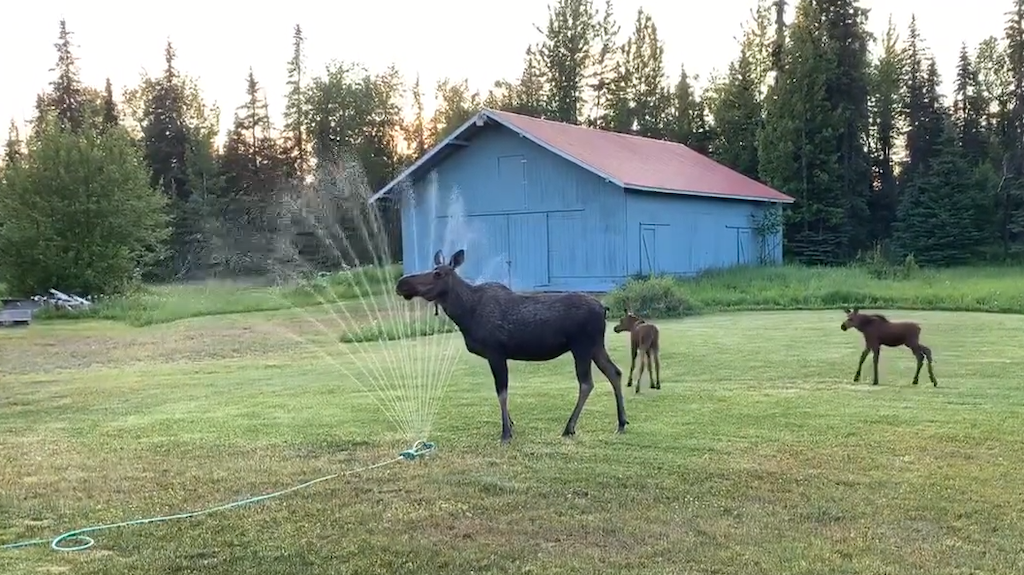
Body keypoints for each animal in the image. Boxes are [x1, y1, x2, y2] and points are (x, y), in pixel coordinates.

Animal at [395, 248, 626, 439]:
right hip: (596, 346)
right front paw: (511, 424)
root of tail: (604, 309)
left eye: (438, 273)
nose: (401, 284)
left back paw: (569, 427)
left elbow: (502, 392)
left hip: (581, 346)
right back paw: (622, 423)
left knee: (587, 383)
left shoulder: (495, 352)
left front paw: (506, 432)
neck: (466, 314)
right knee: (614, 372)